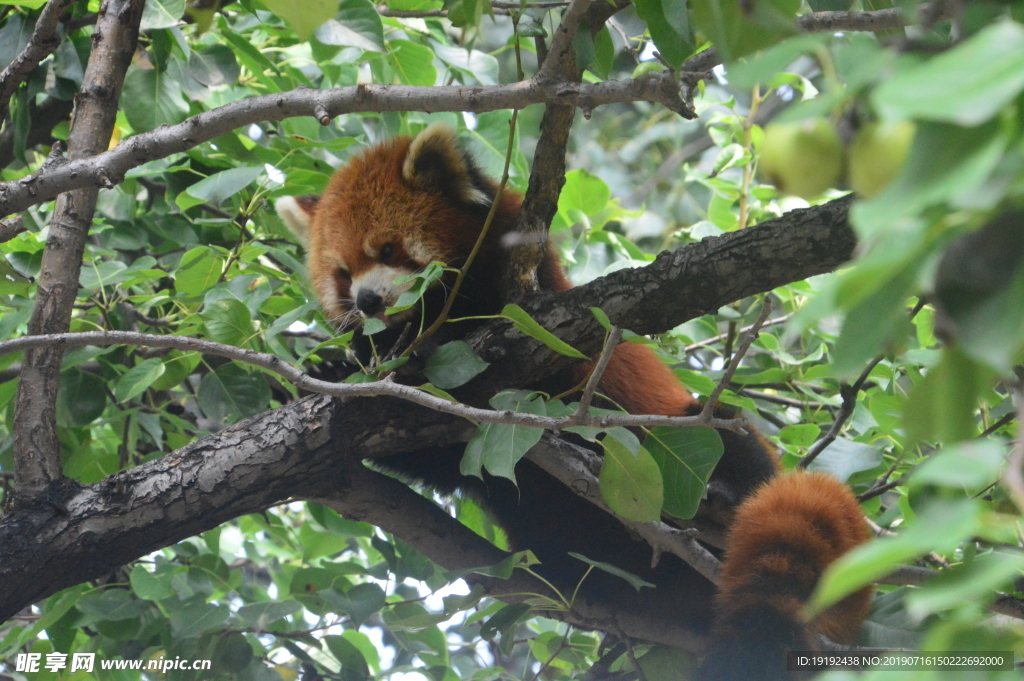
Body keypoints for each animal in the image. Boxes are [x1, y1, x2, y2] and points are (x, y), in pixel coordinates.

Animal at [274, 123, 872, 679]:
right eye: (342, 275)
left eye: (387, 249)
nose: (368, 301)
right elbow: (431, 453)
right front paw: (327, 370)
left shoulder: (542, 320)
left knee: (726, 437)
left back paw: (723, 496)